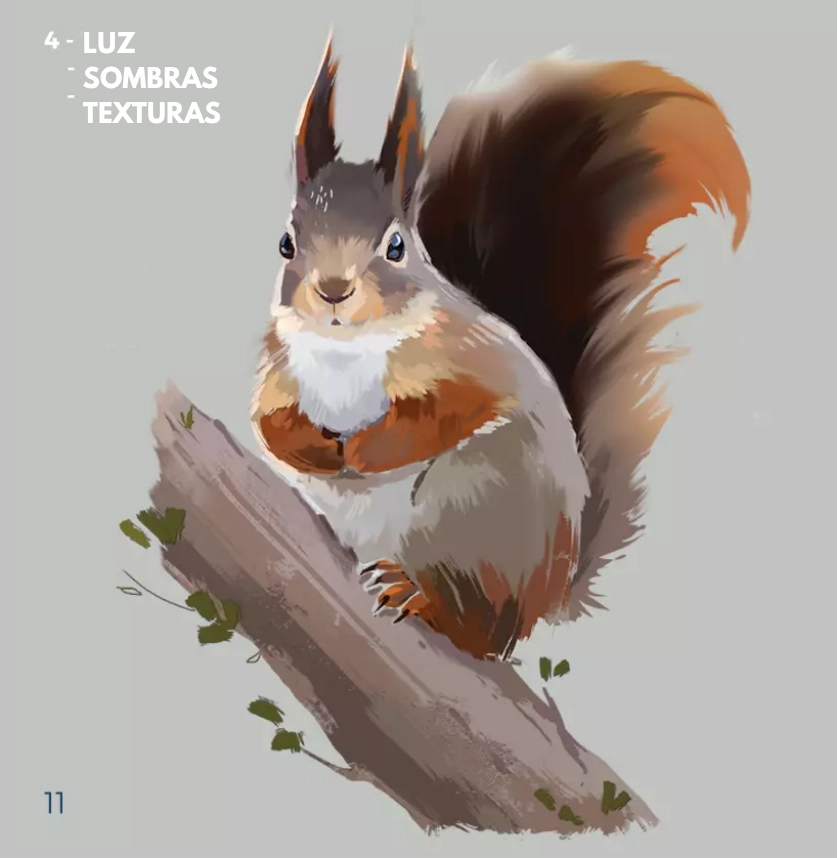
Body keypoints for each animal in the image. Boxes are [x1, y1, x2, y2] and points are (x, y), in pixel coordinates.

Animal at [251, 37, 750, 661]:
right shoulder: (277, 365)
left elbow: (455, 408)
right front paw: (309, 448)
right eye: (285, 243)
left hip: (471, 502)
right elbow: (267, 421)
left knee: (485, 633)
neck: (347, 346)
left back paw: (421, 597)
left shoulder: (472, 357)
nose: (333, 291)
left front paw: (367, 450)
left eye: (396, 246)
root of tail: (550, 594)